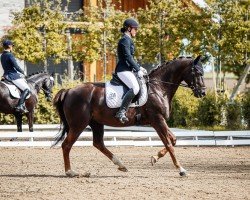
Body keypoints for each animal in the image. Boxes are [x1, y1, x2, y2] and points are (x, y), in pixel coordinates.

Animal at [52, 55, 205, 177]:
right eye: (197, 72)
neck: (159, 88)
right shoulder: (157, 120)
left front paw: (154, 158)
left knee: (98, 143)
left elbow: (173, 140)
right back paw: (70, 172)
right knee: (66, 145)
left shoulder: (159, 121)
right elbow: (169, 144)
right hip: (78, 124)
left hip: (96, 123)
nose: (202, 93)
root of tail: (69, 90)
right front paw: (181, 169)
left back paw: (121, 165)